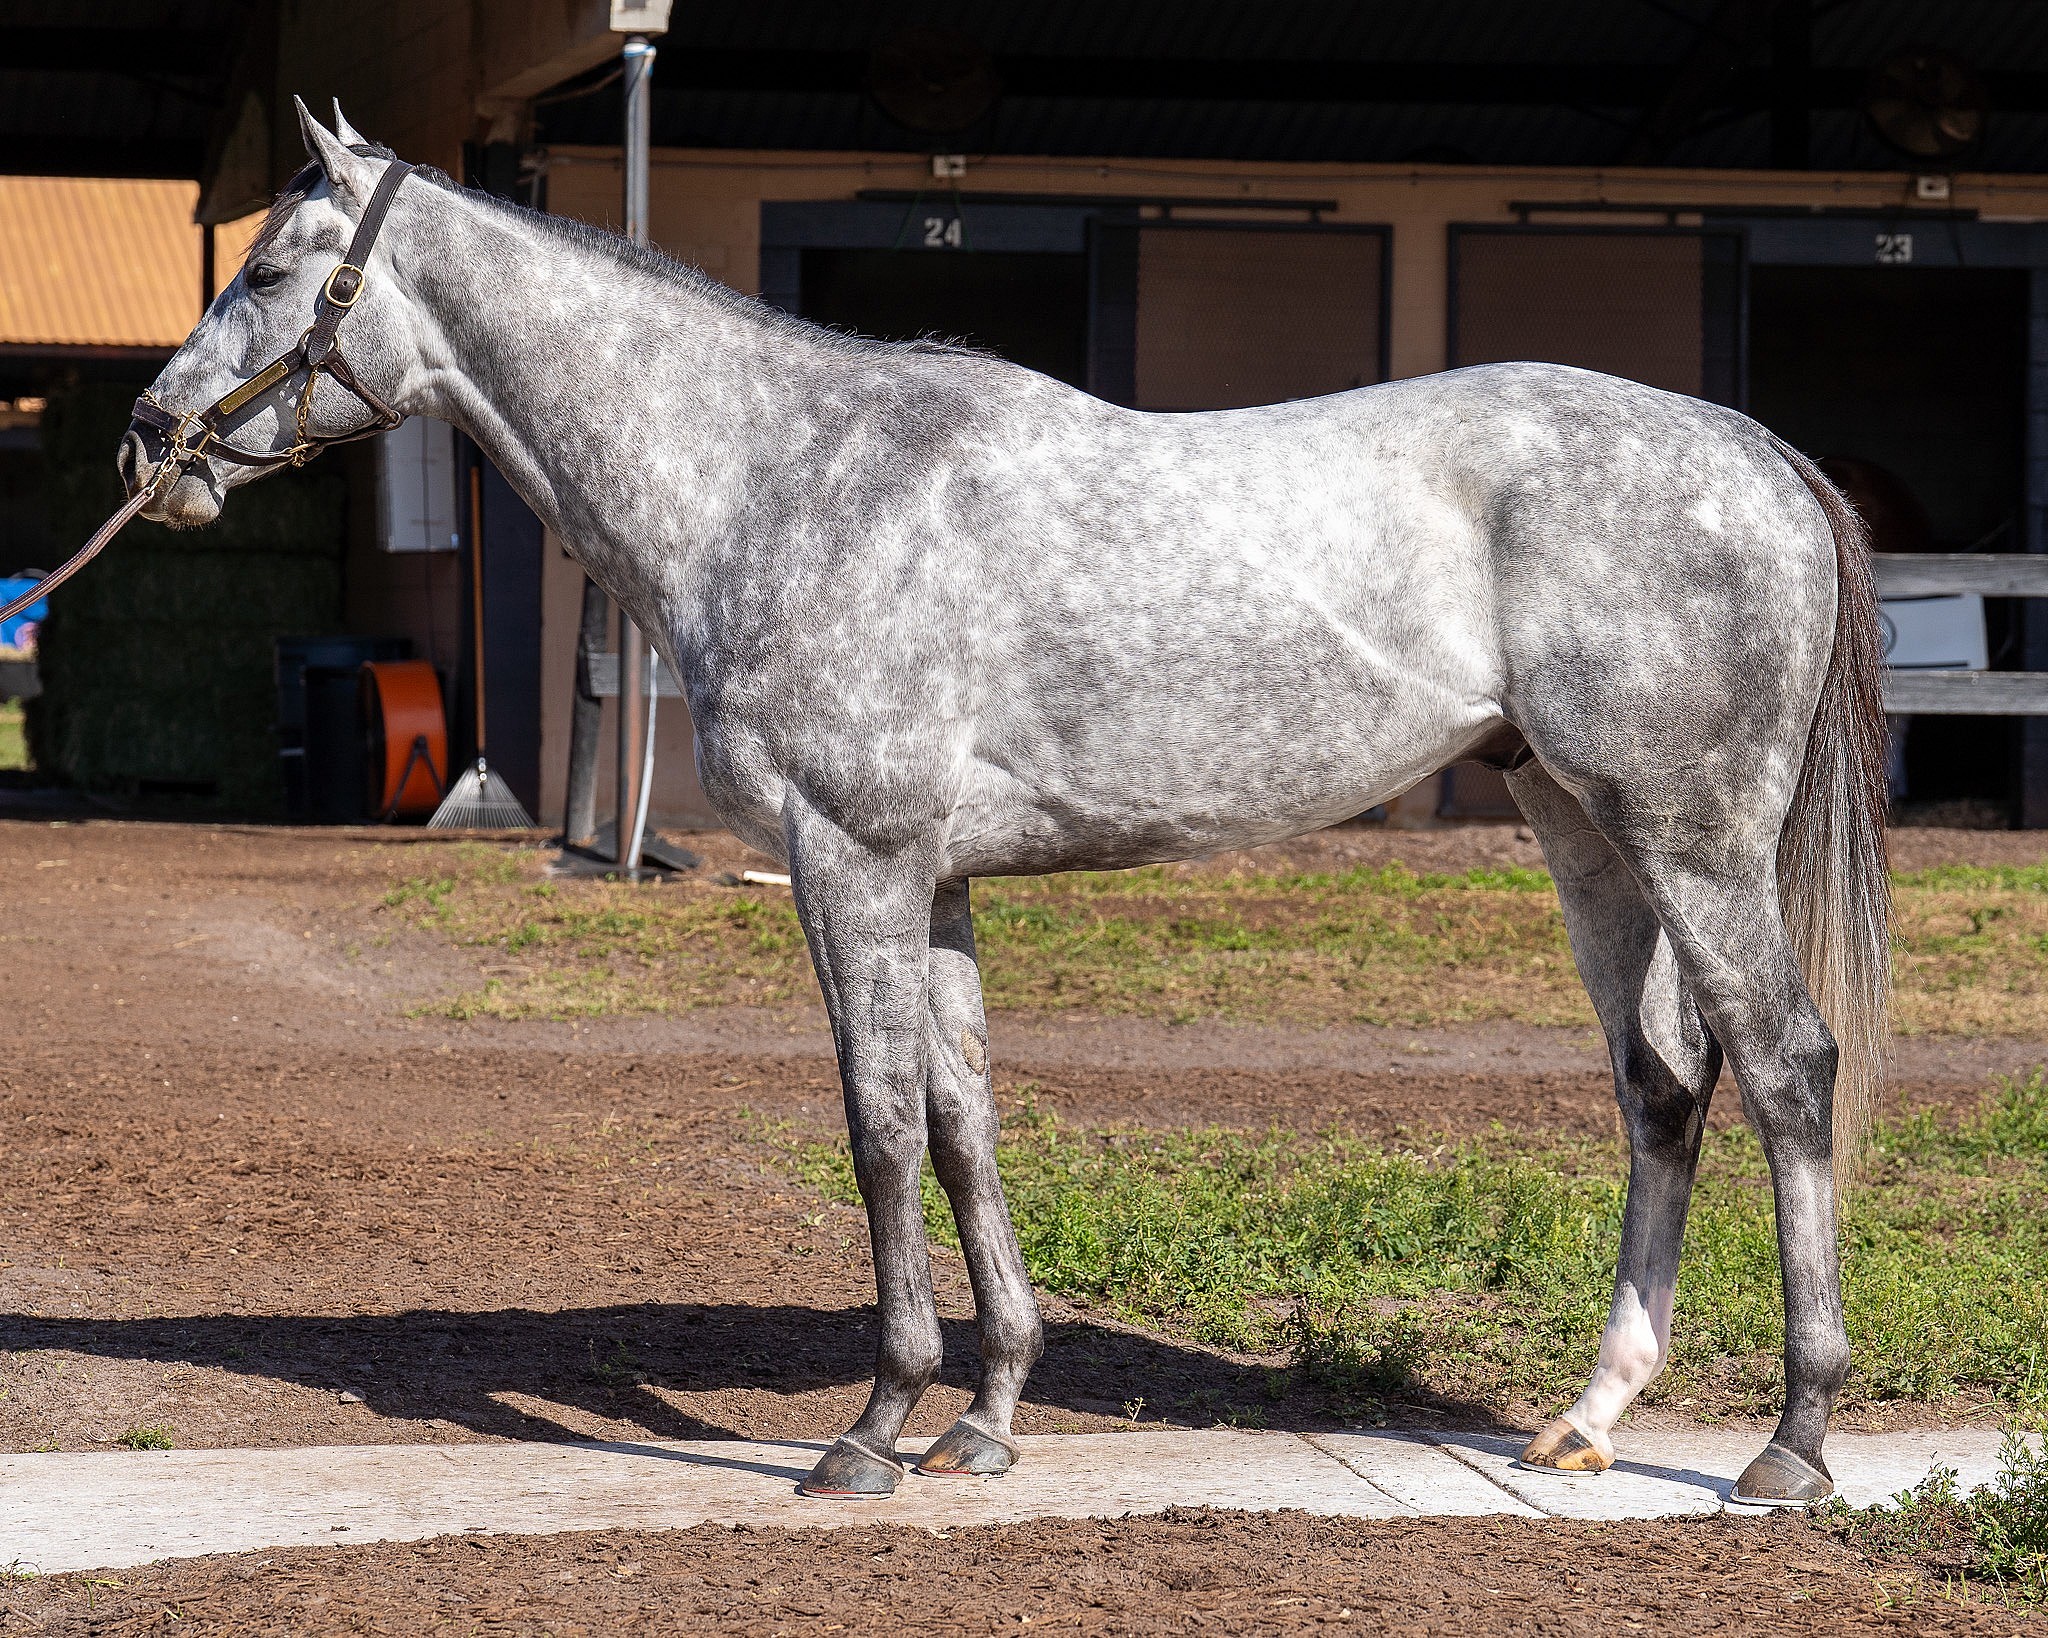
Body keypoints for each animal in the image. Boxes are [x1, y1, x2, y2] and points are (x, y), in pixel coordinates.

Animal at [123, 105, 1884, 1506]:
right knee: (1663, 1087)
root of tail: (1755, 452)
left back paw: (1790, 1445)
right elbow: (969, 1122)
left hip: (1693, 841)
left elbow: (880, 1126)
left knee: (1789, 1070)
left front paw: (870, 1428)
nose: (152, 439)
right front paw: (982, 1419)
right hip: (1588, 834)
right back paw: (1589, 1417)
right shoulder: (941, 882)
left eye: (270, 271)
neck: (782, 476)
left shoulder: (853, 861)